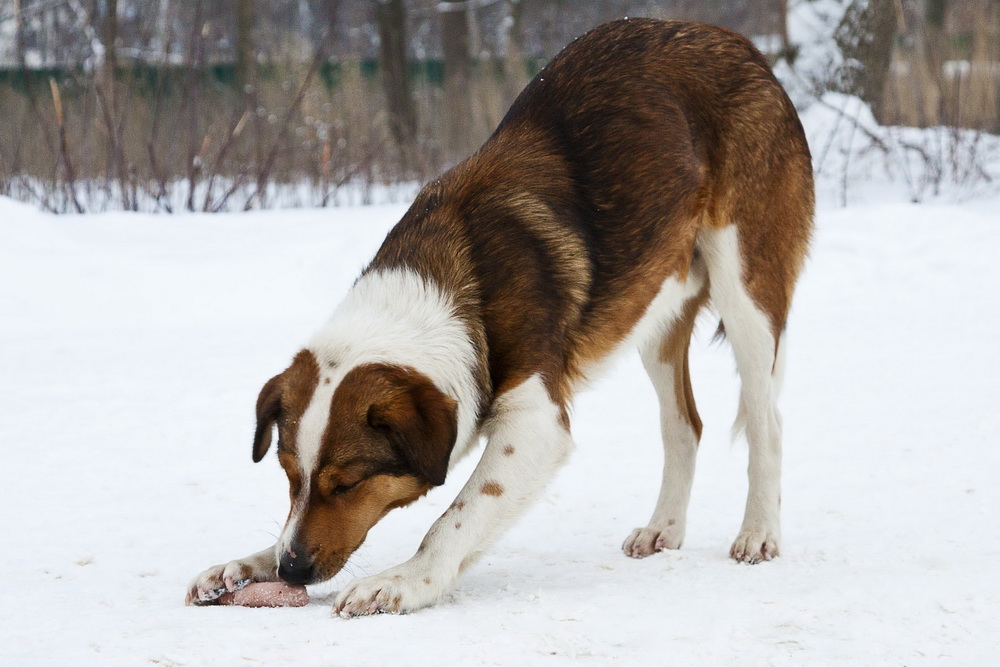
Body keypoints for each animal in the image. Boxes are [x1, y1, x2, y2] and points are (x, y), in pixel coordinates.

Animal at [186, 18, 812, 620]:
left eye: (349, 483)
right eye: (290, 477)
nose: (291, 569)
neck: (453, 291)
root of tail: (739, 43)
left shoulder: (535, 427)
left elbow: (453, 520)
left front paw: (403, 582)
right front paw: (249, 564)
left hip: (746, 289)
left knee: (769, 421)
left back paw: (759, 531)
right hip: (653, 308)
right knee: (684, 424)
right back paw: (666, 528)